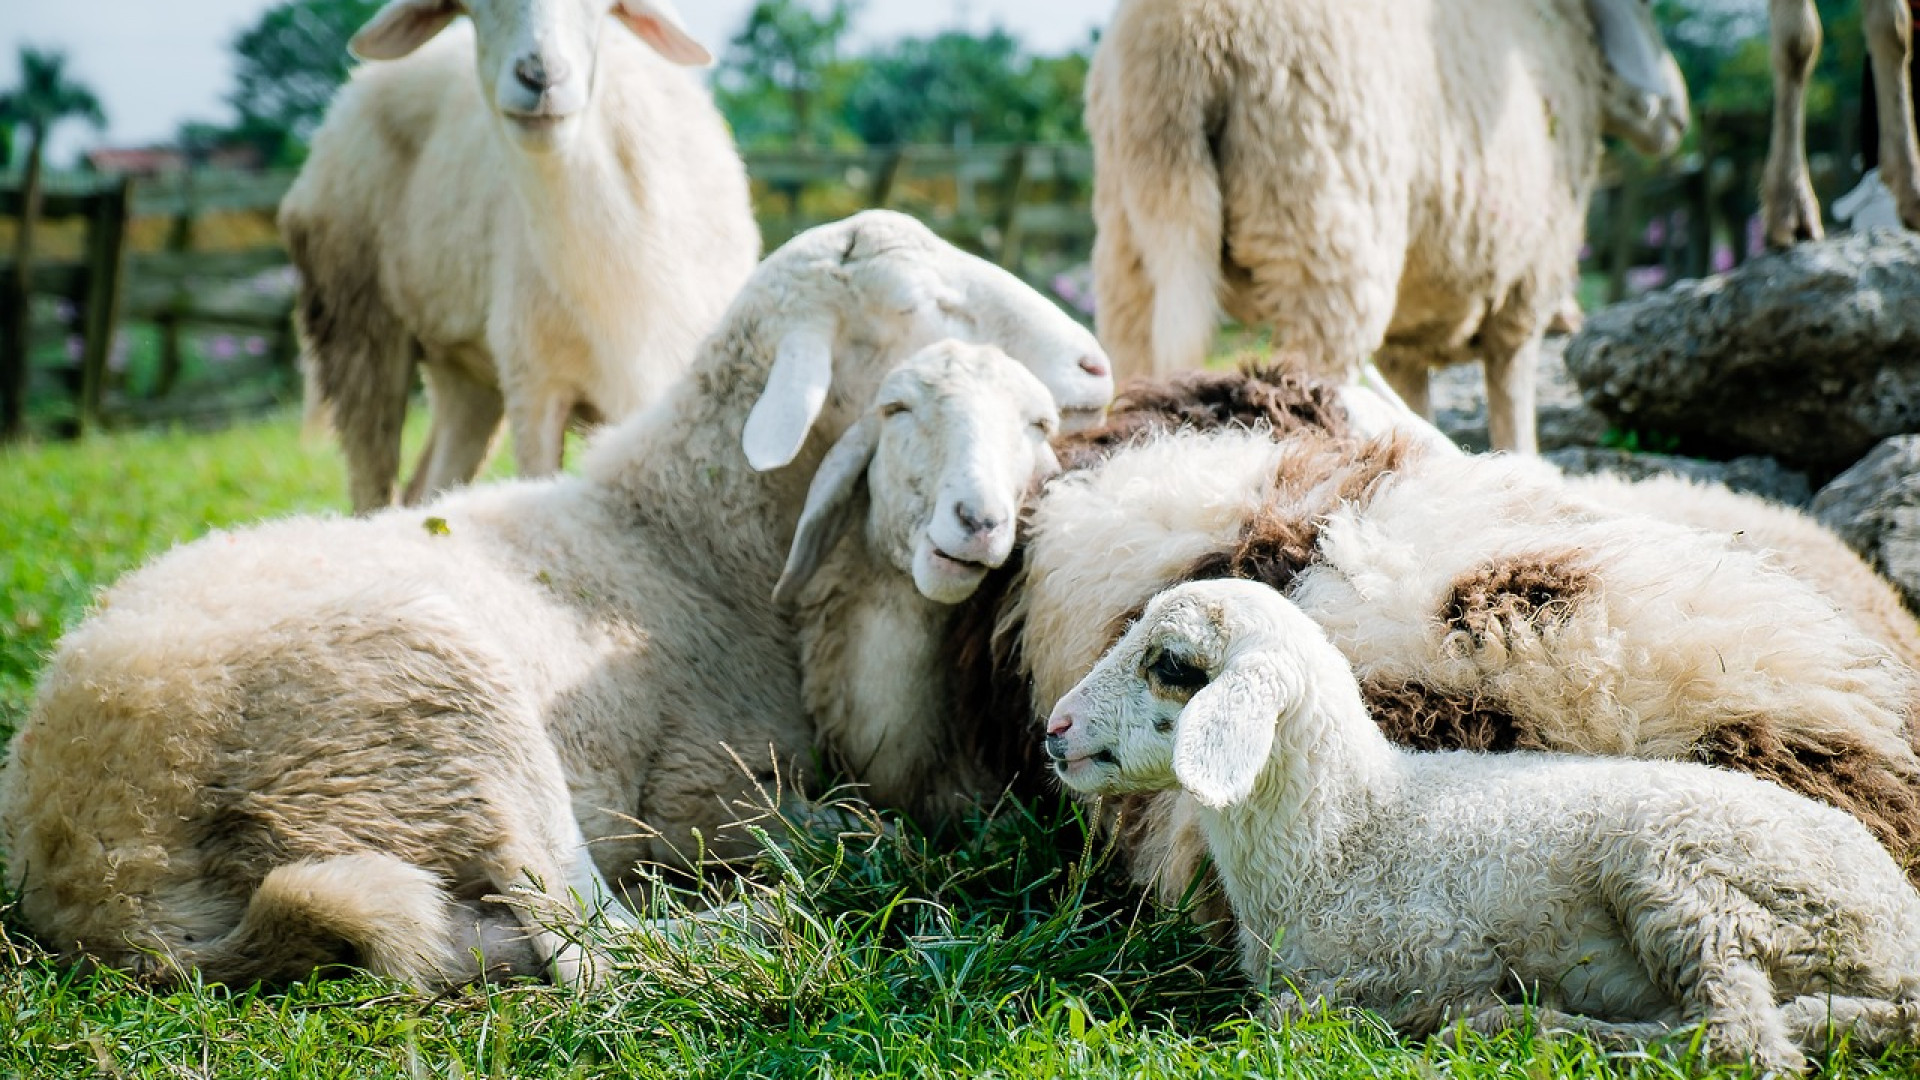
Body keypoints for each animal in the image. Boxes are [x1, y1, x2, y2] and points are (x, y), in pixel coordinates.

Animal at [0, 208, 1121, 983]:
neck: (679, 531)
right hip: (446, 707)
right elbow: (860, 827)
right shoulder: (697, 789)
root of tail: (101, 873)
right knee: (595, 948)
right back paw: (772, 923)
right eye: (922, 305)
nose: (1097, 362)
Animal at [280, 0, 760, 511]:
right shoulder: (535, 385)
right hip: (357, 323)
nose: (540, 75)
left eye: (598, 9)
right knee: (373, 486)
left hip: (466, 371)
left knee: (428, 487)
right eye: (473, 8)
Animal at [1044, 576, 1920, 1060]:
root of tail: (1898, 926)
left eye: (1171, 665)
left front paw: (1464, 1015)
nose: (1055, 729)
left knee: (1739, 1039)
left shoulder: (1428, 950)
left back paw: (1539, 1030)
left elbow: (1299, 1011)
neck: (1349, 832)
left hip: (1689, 875)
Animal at [1090, 0, 1689, 449]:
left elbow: (1418, 401)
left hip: (1135, 234)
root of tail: (1185, 42)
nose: (1679, 114)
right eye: (1644, 8)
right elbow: (1514, 413)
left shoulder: (1408, 337)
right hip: (1323, 227)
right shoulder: (1527, 285)